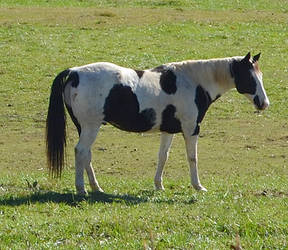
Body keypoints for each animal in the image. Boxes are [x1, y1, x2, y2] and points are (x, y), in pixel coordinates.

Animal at [45, 51, 270, 194]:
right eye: (251, 78)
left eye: (260, 76)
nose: (264, 103)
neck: (194, 82)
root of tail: (74, 72)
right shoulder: (191, 129)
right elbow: (192, 158)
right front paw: (198, 186)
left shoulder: (168, 130)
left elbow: (163, 156)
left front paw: (158, 185)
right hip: (91, 127)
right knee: (81, 152)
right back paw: (81, 188)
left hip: (85, 127)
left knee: (87, 156)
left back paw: (96, 187)